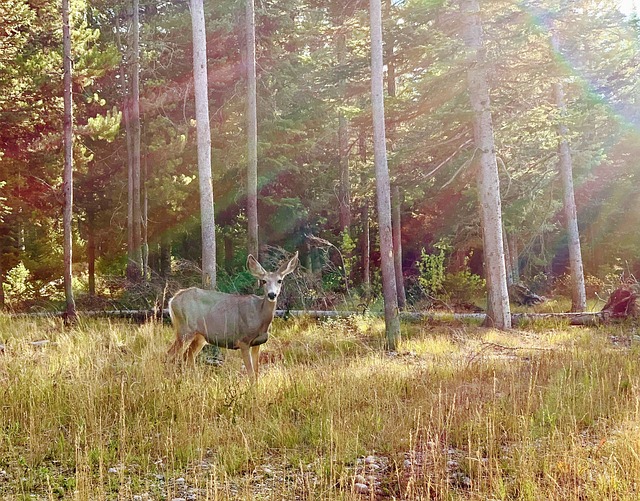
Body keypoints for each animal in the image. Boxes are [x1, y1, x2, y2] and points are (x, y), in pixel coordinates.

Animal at [169, 252, 302, 376]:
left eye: (280, 281)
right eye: (264, 281)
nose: (272, 294)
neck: (260, 316)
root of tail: (172, 300)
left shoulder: (257, 343)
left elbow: (256, 372)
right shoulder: (243, 340)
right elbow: (251, 373)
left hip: (200, 336)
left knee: (188, 356)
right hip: (185, 329)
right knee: (170, 355)